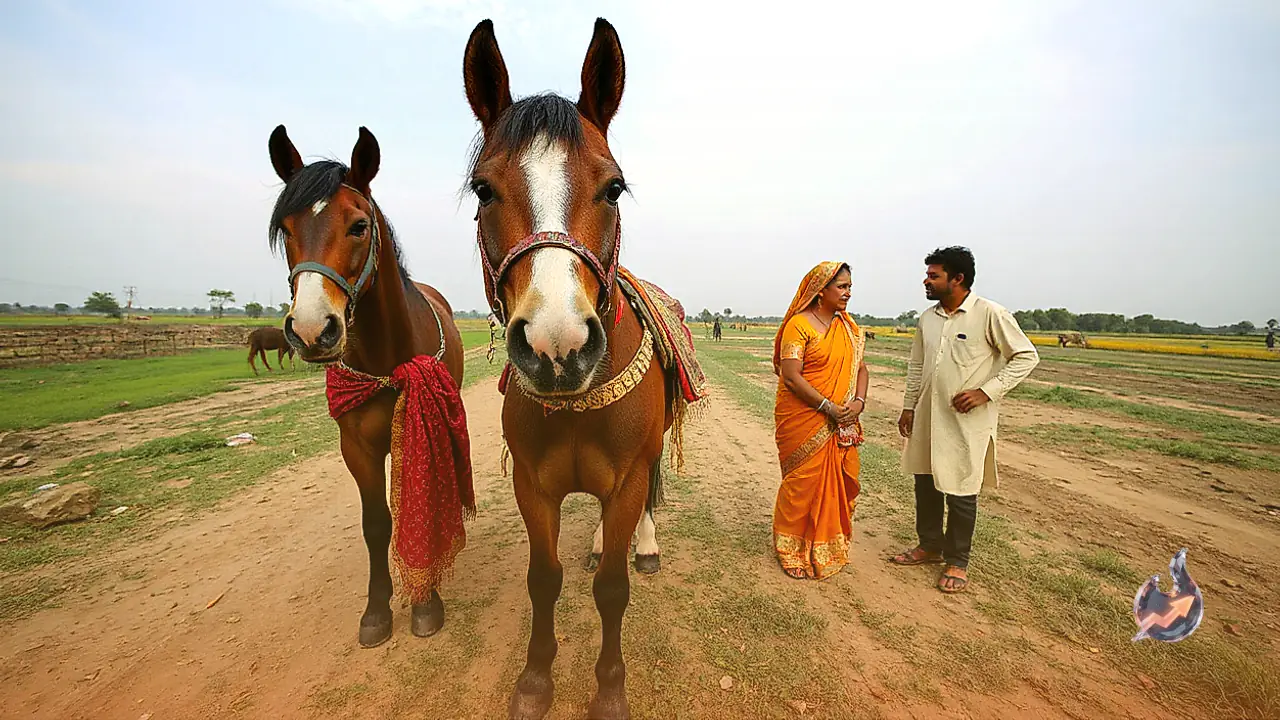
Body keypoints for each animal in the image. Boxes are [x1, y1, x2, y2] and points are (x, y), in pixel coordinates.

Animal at [266, 125, 472, 649]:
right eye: (286, 230)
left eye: (359, 226)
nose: (312, 329)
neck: (385, 359)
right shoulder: (356, 445)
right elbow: (377, 522)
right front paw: (377, 609)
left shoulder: (419, 428)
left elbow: (423, 499)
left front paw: (426, 601)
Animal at [463, 18, 691, 720]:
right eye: (483, 189)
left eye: (613, 186)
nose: (556, 345)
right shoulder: (532, 488)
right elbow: (545, 580)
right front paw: (536, 681)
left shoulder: (628, 478)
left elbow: (613, 589)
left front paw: (609, 689)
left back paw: (643, 545)